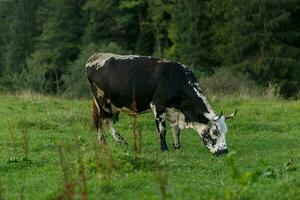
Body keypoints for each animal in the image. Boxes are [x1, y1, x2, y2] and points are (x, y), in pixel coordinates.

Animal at [85, 52, 237, 155]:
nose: (224, 151)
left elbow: (176, 130)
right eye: (215, 131)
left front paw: (177, 146)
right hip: (102, 100)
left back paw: (102, 142)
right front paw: (164, 149)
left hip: (102, 103)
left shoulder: (175, 111)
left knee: (97, 120)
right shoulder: (157, 106)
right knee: (106, 120)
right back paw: (121, 141)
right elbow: (162, 130)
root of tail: (95, 56)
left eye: (225, 131)